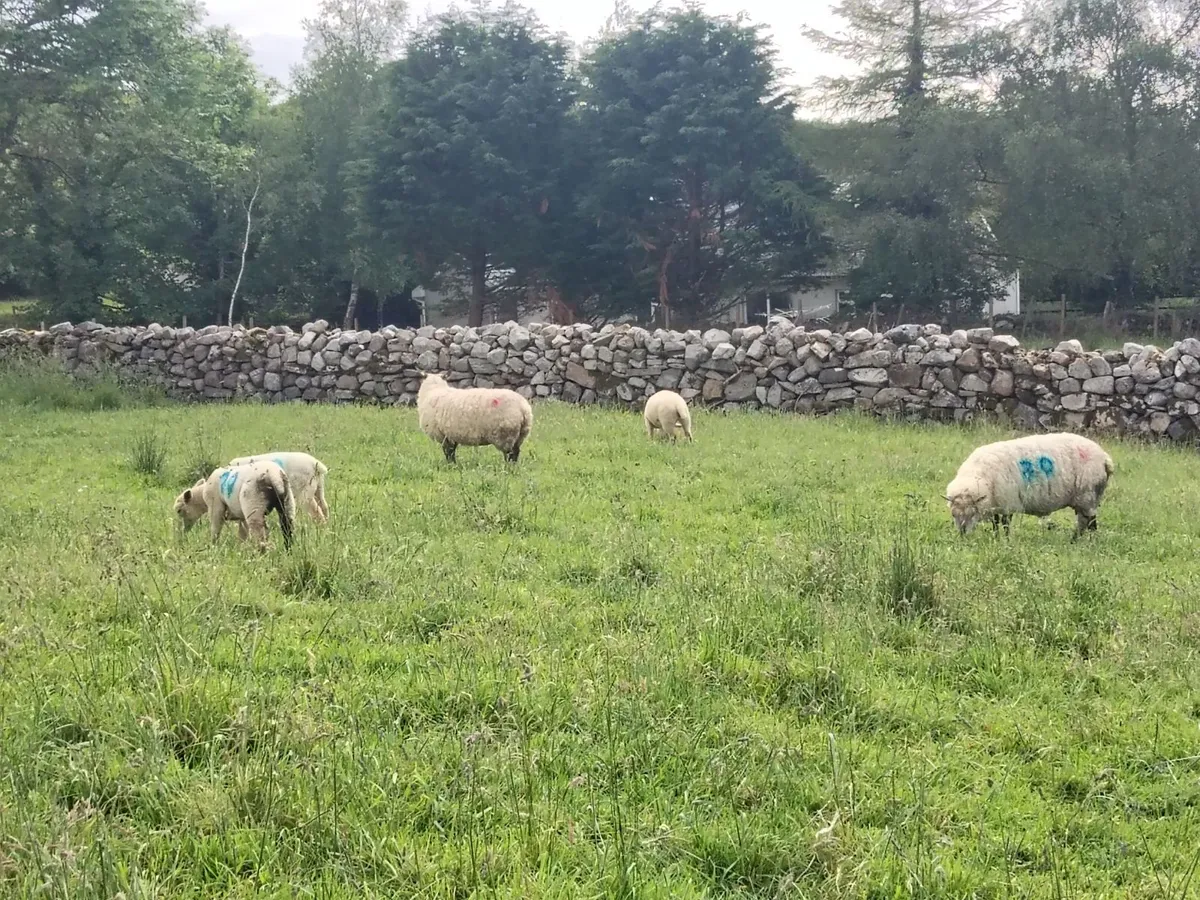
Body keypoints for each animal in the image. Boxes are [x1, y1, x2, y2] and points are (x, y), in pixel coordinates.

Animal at [945, 432, 1115, 538]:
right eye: (953, 515)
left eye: (972, 513)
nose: (962, 534)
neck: (979, 474)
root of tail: (1105, 458)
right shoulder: (995, 503)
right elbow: (995, 523)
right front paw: (996, 538)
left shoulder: (1008, 500)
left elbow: (1005, 523)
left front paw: (1005, 540)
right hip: (1085, 498)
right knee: (1083, 521)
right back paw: (1074, 540)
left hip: (1088, 494)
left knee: (1091, 522)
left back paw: (1087, 541)